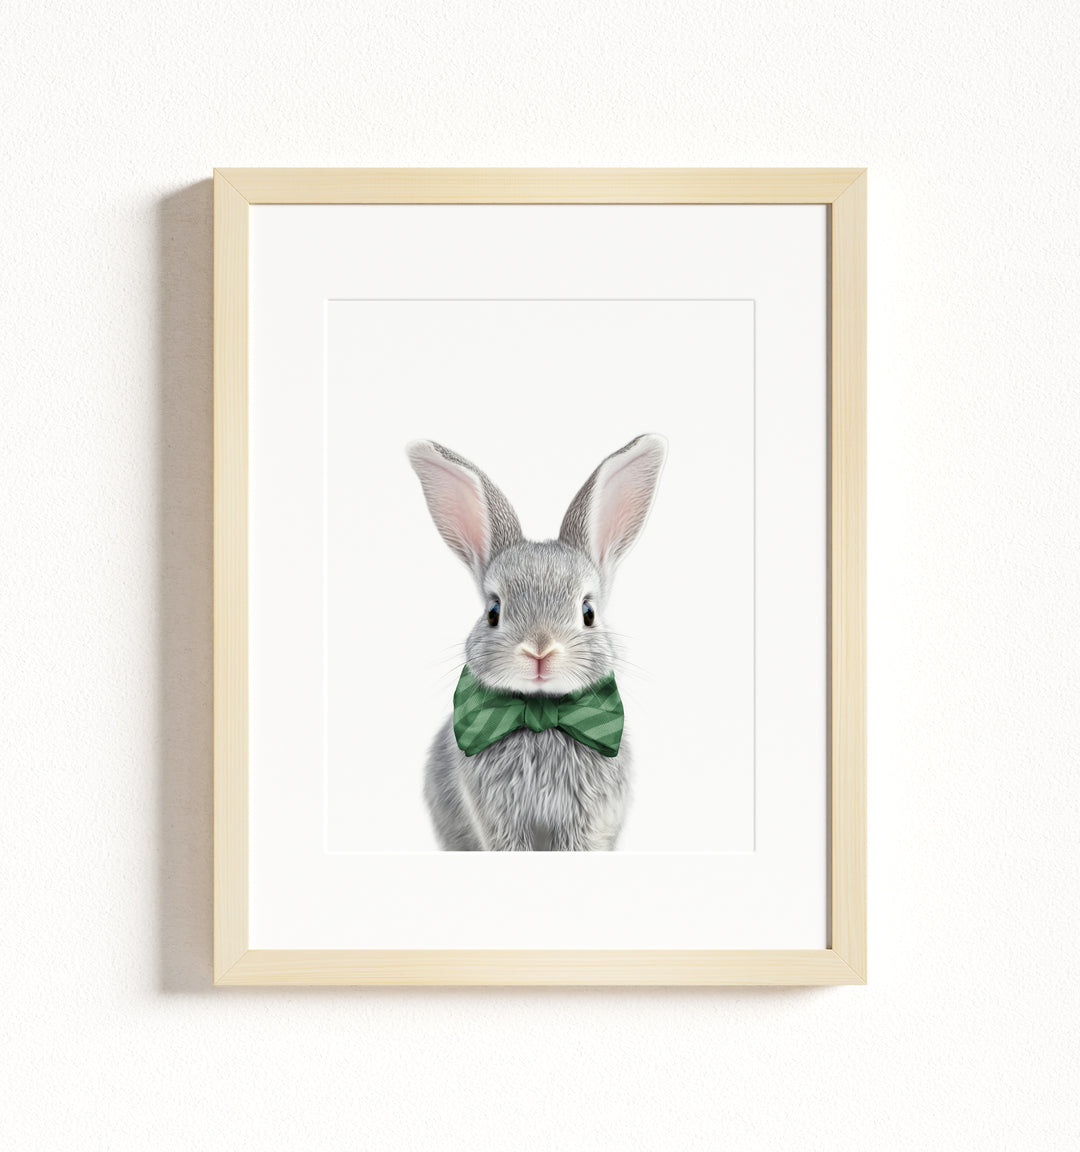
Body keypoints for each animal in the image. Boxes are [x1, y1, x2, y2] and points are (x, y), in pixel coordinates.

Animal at [406, 434, 667, 851]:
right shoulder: (499, 819)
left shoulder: (586, 820)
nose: (540, 650)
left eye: (588, 612)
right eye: (494, 611)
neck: (541, 714)